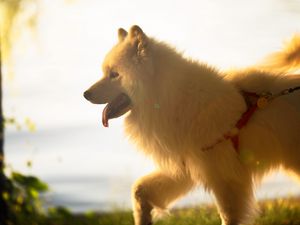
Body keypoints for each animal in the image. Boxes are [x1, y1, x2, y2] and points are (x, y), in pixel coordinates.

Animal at [84, 25, 300, 224]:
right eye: (104, 73)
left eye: (114, 74)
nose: (85, 94)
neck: (172, 99)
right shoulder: (184, 167)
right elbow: (140, 189)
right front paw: (143, 217)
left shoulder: (225, 179)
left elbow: (228, 217)